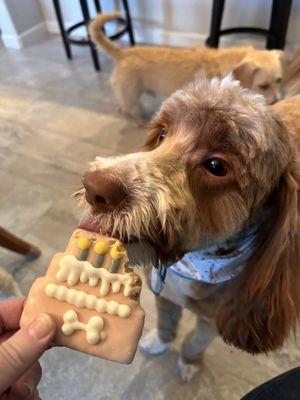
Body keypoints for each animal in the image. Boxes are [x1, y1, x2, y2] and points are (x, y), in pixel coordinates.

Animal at [77, 77, 300, 382]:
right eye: (161, 135)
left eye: (216, 165)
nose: (94, 187)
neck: (196, 261)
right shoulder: (165, 295)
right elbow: (166, 326)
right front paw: (158, 343)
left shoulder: (212, 321)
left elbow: (194, 341)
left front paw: (190, 362)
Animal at [88, 12, 284, 119]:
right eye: (263, 86)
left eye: (279, 81)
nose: (278, 102)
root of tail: (124, 53)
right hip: (131, 94)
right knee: (128, 108)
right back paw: (140, 120)